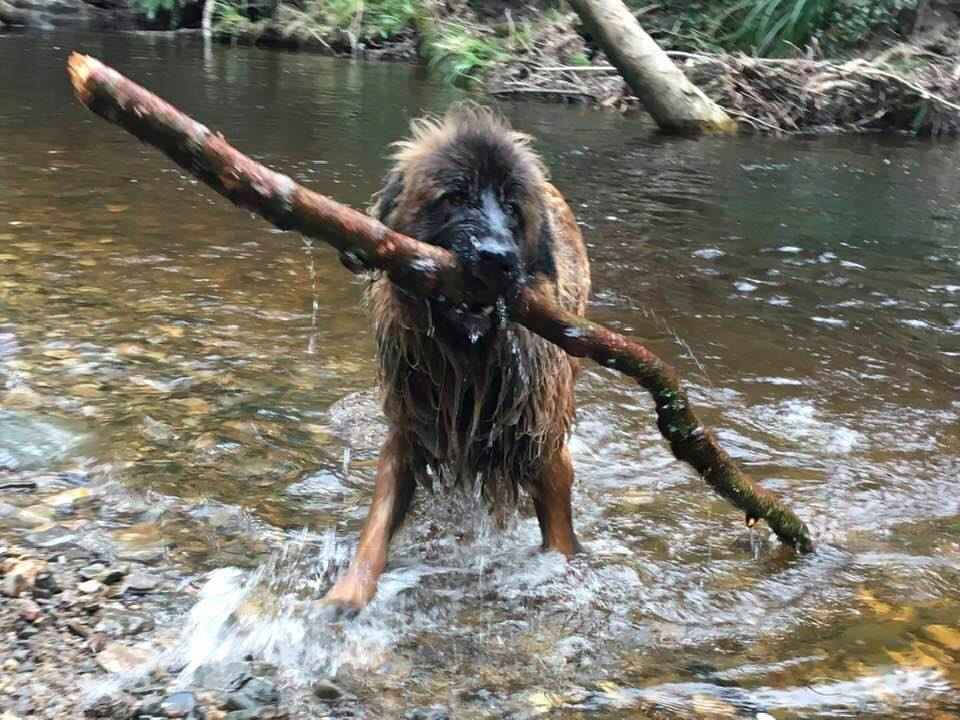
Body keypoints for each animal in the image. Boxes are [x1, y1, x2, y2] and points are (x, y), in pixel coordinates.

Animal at [326, 105, 588, 612]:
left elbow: (561, 539)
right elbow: (376, 527)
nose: (498, 258)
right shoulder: (410, 433)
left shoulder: (544, 446)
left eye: (512, 209)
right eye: (455, 197)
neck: (471, 357)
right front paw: (348, 593)